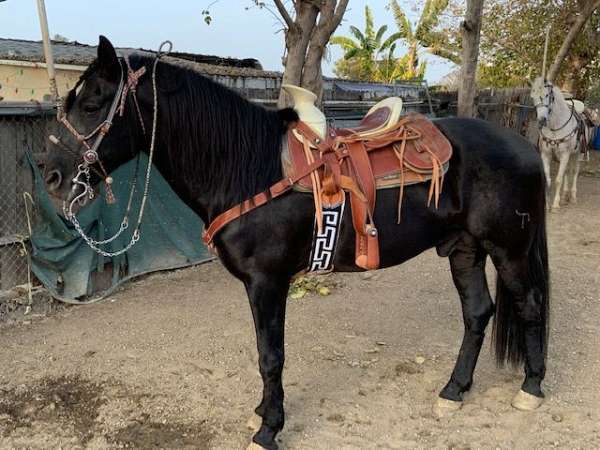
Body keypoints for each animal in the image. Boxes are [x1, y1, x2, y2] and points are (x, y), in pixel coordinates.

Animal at [42, 36, 548, 450]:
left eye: (93, 103)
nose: (51, 177)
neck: (247, 166)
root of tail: (525, 147)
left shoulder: (268, 281)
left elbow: (271, 356)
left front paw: (268, 430)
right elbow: (264, 353)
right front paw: (263, 414)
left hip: (508, 250)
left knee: (529, 307)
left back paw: (531, 388)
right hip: (464, 248)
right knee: (477, 313)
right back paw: (453, 391)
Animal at [528, 76, 592, 210]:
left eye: (547, 95)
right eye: (533, 97)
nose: (541, 120)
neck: (555, 127)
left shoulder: (565, 155)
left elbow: (558, 179)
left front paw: (555, 204)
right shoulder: (546, 154)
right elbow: (548, 179)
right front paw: (547, 204)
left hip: (576, 154)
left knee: (575, 172)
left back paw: (572, 196)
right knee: (567, 171)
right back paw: (564, 196)